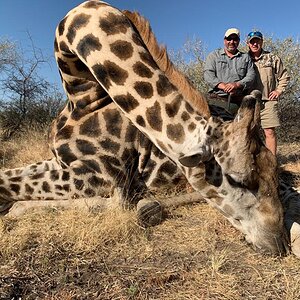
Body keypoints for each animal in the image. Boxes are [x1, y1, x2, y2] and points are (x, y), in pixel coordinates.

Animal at [0, 0, 296, 255]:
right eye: (236, 179)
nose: (276, 244)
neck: (81, 97)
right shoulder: (62, 163)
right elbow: (8, 175)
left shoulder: (99, 176)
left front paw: (13, 207)